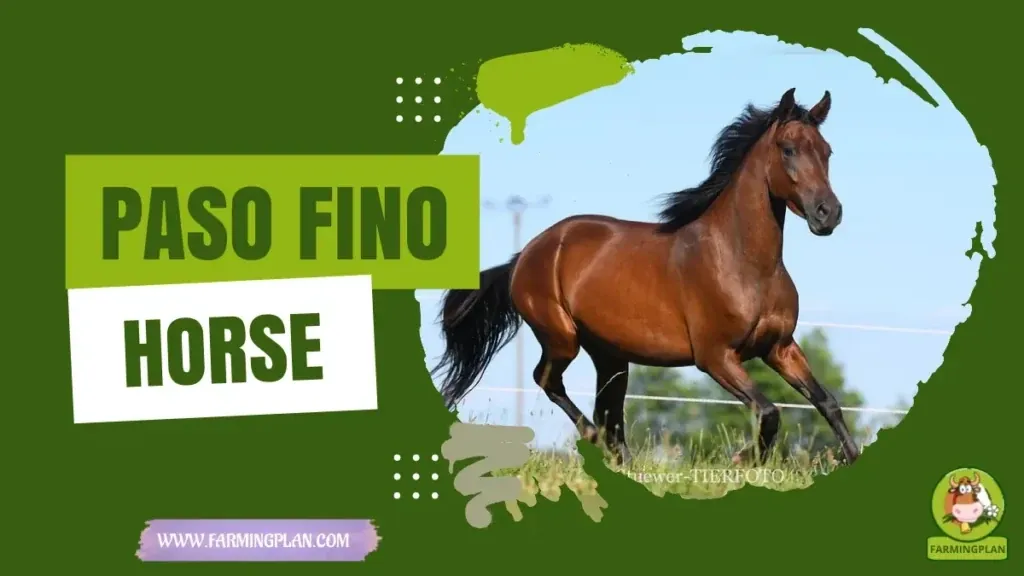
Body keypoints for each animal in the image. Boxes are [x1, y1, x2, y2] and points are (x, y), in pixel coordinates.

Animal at [432, 88, 861, 467]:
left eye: (826, 151)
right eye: (788, 149)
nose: (828, 213)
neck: (745, 264)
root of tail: (525, 255)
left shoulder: (780, 347)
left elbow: (827, 402)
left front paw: (852, 457)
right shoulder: (716, 357)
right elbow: (769, 411)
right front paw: (743, 459)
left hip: (610, 355)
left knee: (608, 409)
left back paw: (622, 458)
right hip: (562, 337)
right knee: (550, 382)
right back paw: (600, 444)